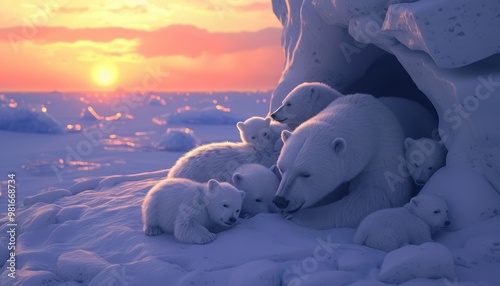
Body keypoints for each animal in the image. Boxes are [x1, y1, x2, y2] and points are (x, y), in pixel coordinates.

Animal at [276, 92, 412, 229]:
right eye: (281, 169)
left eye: (305, 174)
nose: (281, 201)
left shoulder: (384, 158)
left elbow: (375, 198)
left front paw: (299, 215)